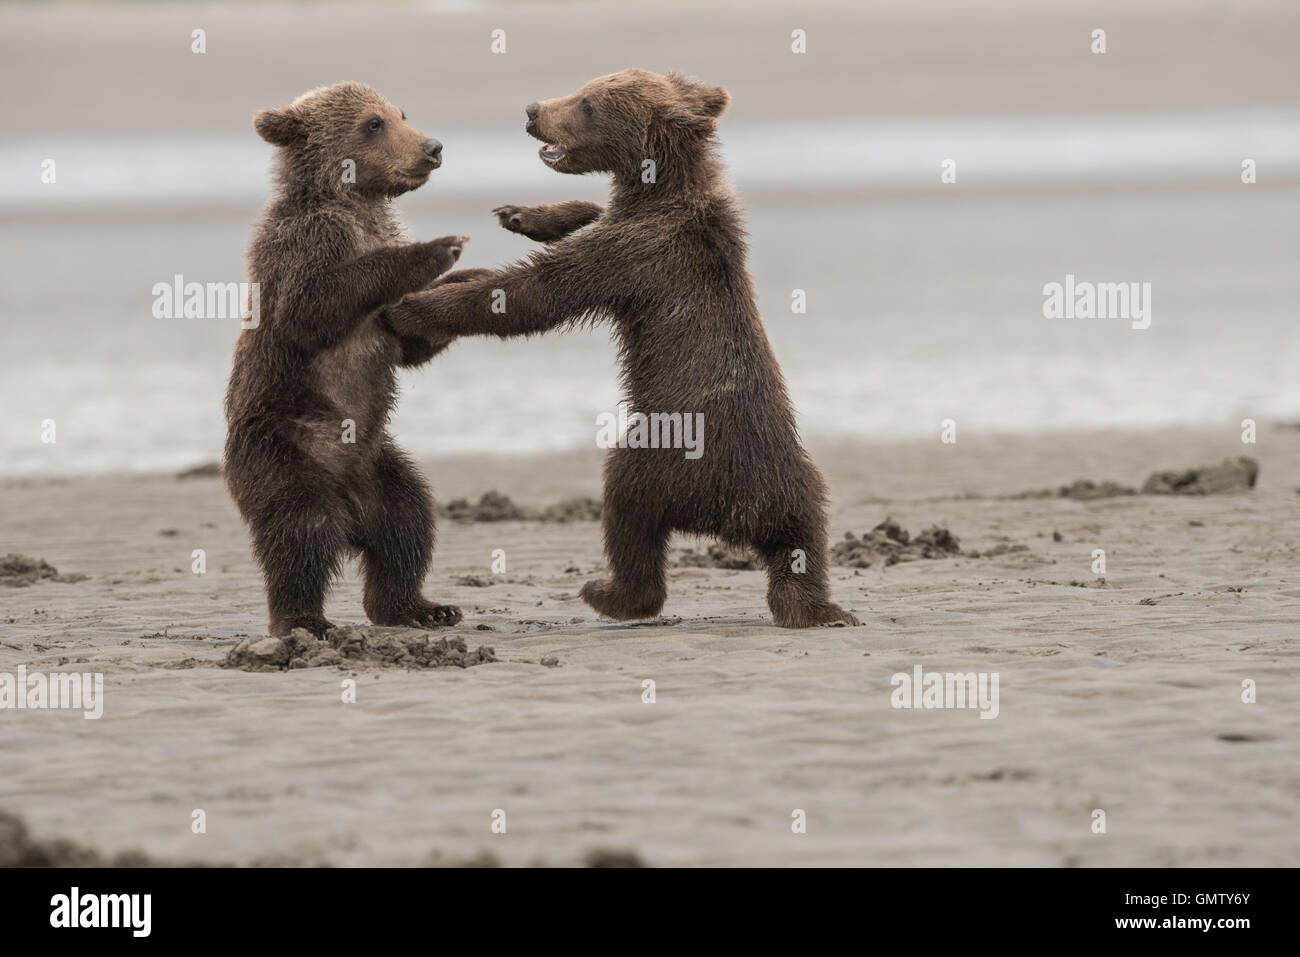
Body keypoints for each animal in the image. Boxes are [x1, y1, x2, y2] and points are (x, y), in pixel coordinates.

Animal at [224, 81, 467, 638]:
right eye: (372, 123)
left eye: (401, 114)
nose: (433, 147)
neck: (356, 204)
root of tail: (351, 508)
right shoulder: (308, 243)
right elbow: (314, 307)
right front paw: (440, 248)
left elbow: (409, 342)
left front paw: (465, 282)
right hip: (285, 449)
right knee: (301, 531)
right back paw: (303, 620)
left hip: (378, 461)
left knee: (408, 522)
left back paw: (419, 606)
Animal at [383, 70, 859, 629]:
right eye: (583, 88)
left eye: (588, 102)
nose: (532, 110)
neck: (660, 187)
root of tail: (737, 513)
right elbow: (589, 216)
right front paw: (522, 214)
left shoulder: (637, 254)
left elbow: (532, 293)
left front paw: (414, 306)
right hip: (799, 488)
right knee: (805, 540)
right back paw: (820, 608)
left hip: (661, 453)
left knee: (627, 514)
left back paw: (607, 592)